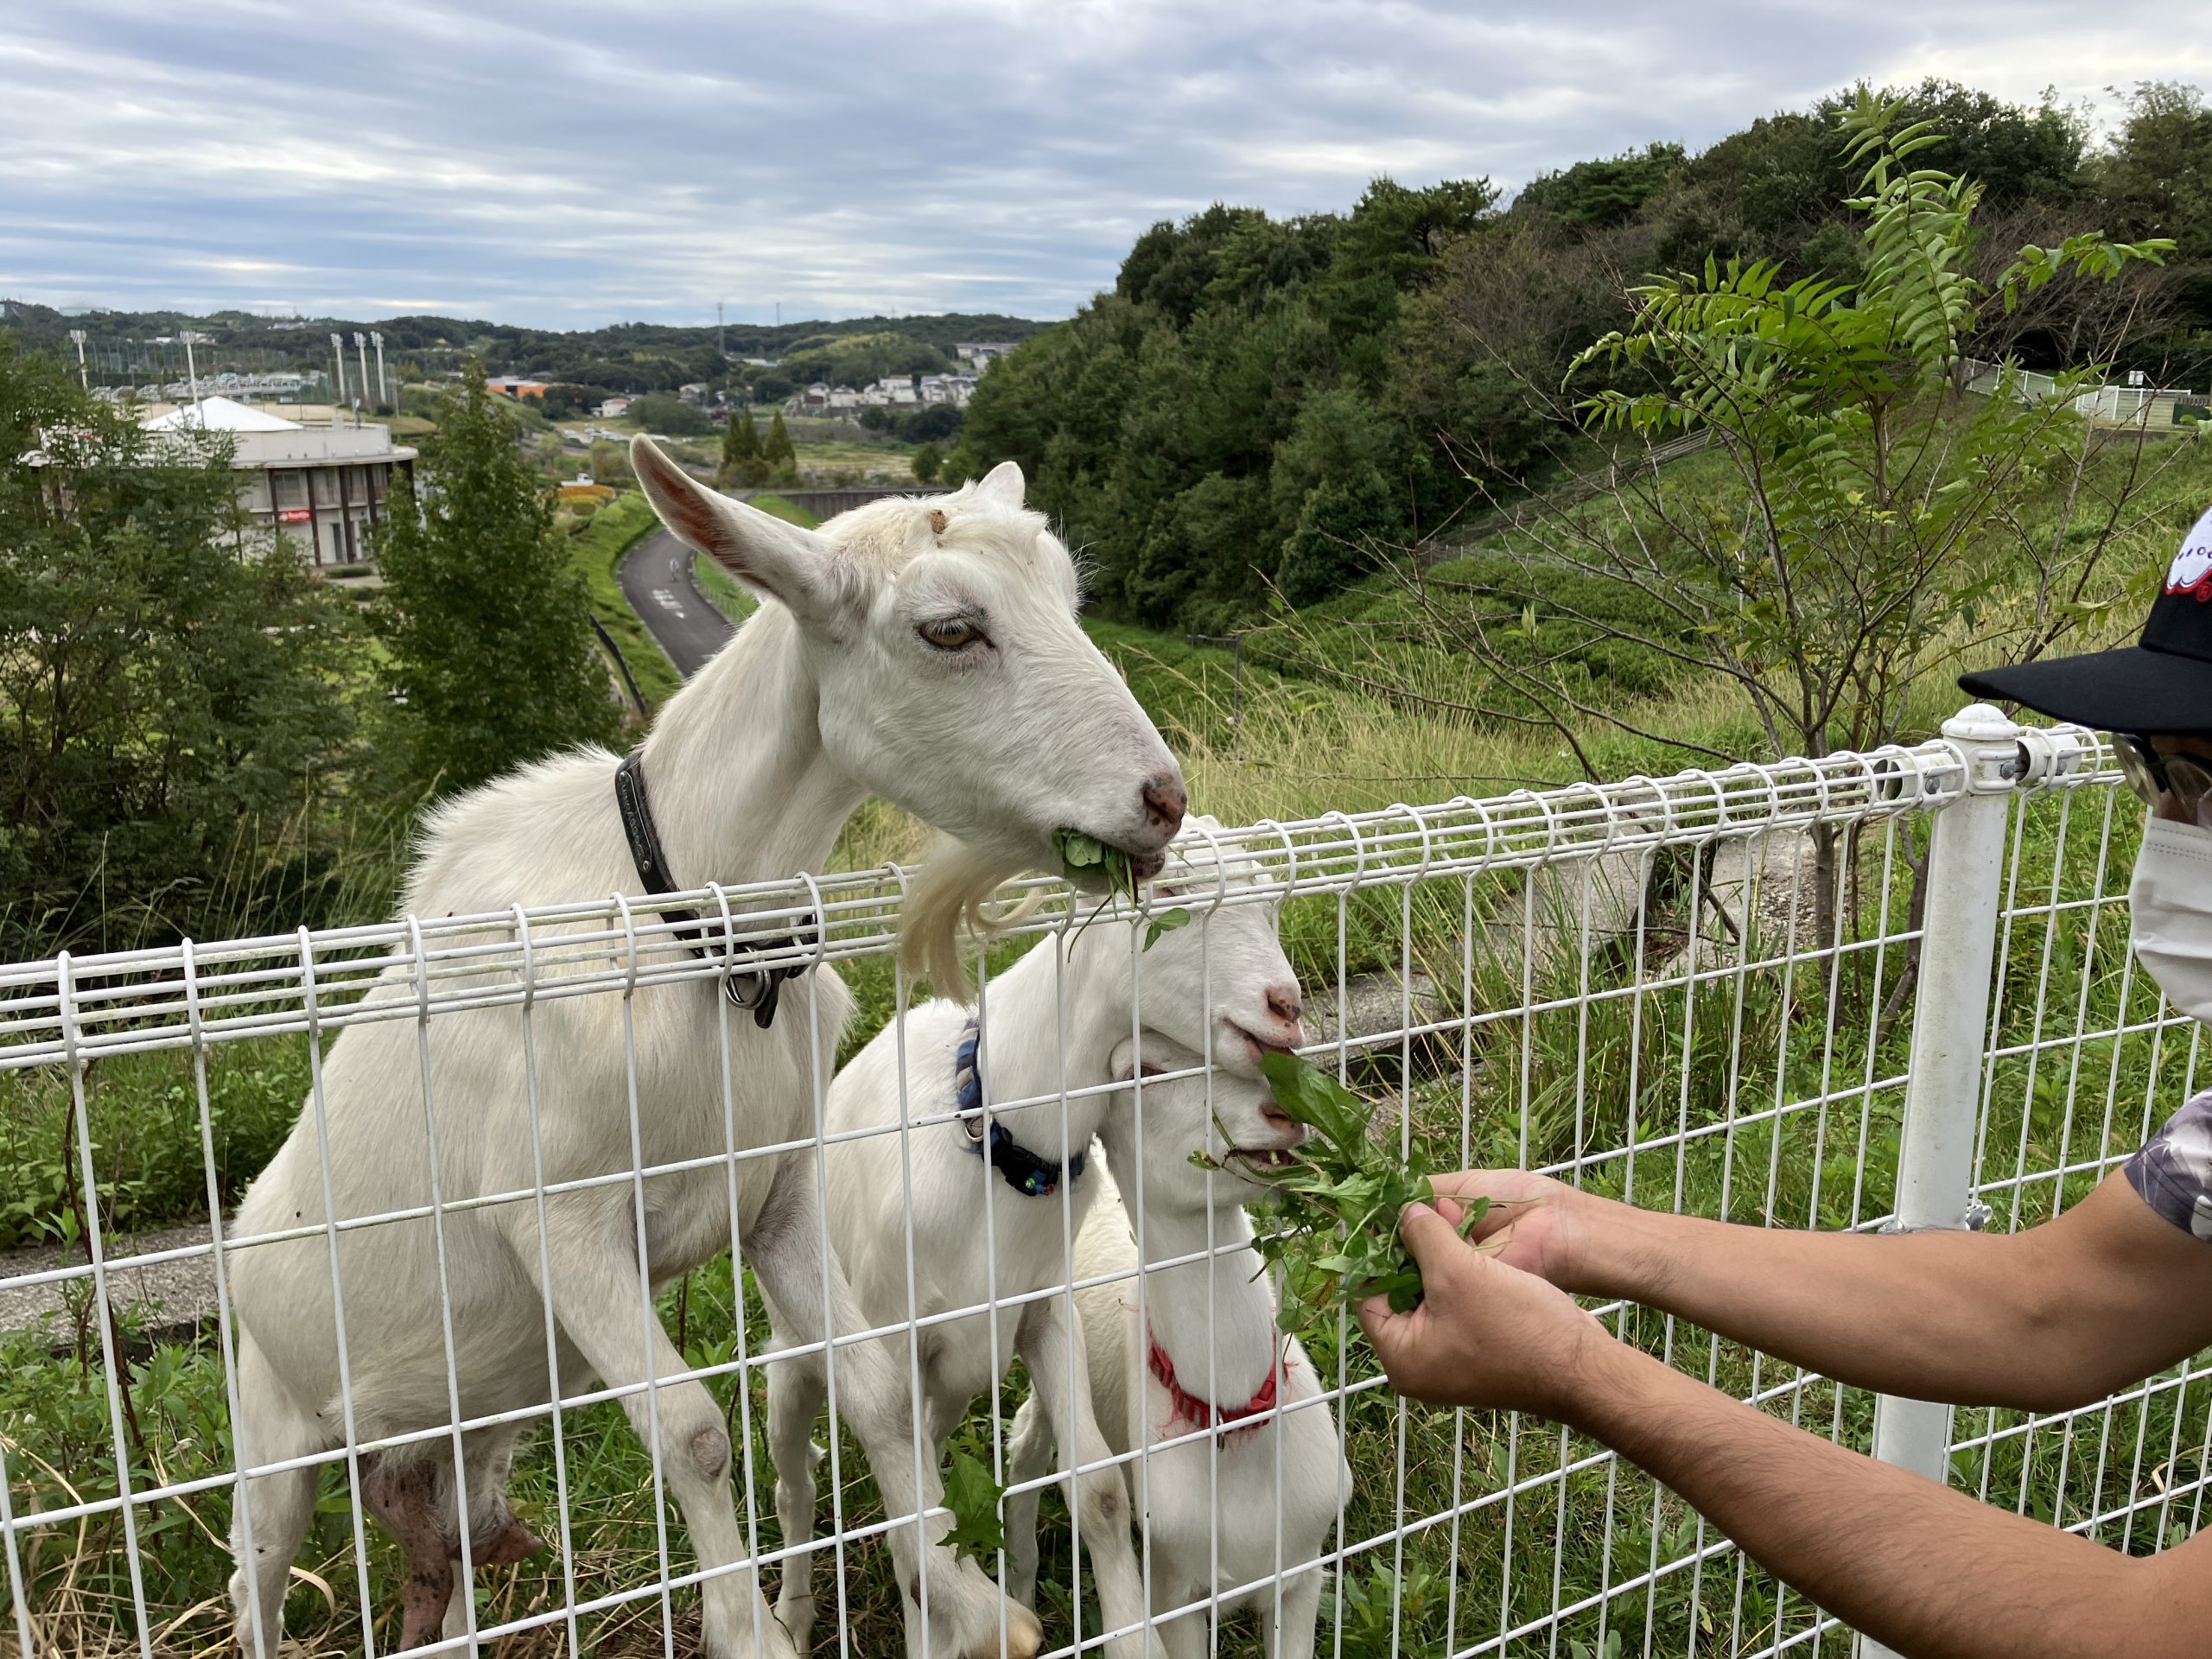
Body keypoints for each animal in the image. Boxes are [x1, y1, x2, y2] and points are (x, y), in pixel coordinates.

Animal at [222, 444, 1185, 1659]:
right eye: (950, 629)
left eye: (1068, 593)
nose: (1162, 800)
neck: (695, 938)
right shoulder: (560, 1219)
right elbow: (690, 1431)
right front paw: (755, 1630)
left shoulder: (776, 1191)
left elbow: (872, 1386)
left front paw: (964, 1597)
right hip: (270, 1427)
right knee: (254, 1580)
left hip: (462, 1441)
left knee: (443, 1567)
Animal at [769, 831, 1300, 1659]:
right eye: (1169, 892)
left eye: (1274, 900)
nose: (1288, 1007)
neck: (998, 1143)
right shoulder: (894, 1337)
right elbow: (917, 1539)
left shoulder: (1045, 1313)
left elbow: (1102, 1490)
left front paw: (1129, 1636)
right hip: (794, 1350)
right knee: (793, 1478)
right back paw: (791, 1616)